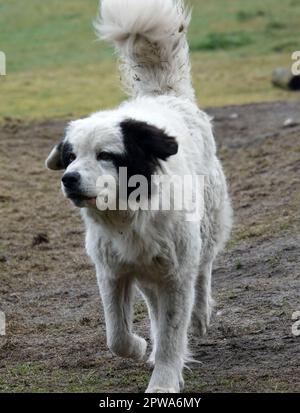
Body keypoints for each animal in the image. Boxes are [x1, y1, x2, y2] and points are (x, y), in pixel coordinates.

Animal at [45, 0, 232, 392]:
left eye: (105, 155)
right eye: (70, 157)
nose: (69, 179)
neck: (128, 216)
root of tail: (163, 96)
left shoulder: (176, 276)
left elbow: (173, 332)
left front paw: (163, 381)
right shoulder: (113, 272)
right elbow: (116, 335)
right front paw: (140, 346)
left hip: (207, 227)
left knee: (204, 268)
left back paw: (200, 315)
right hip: (147, 272)